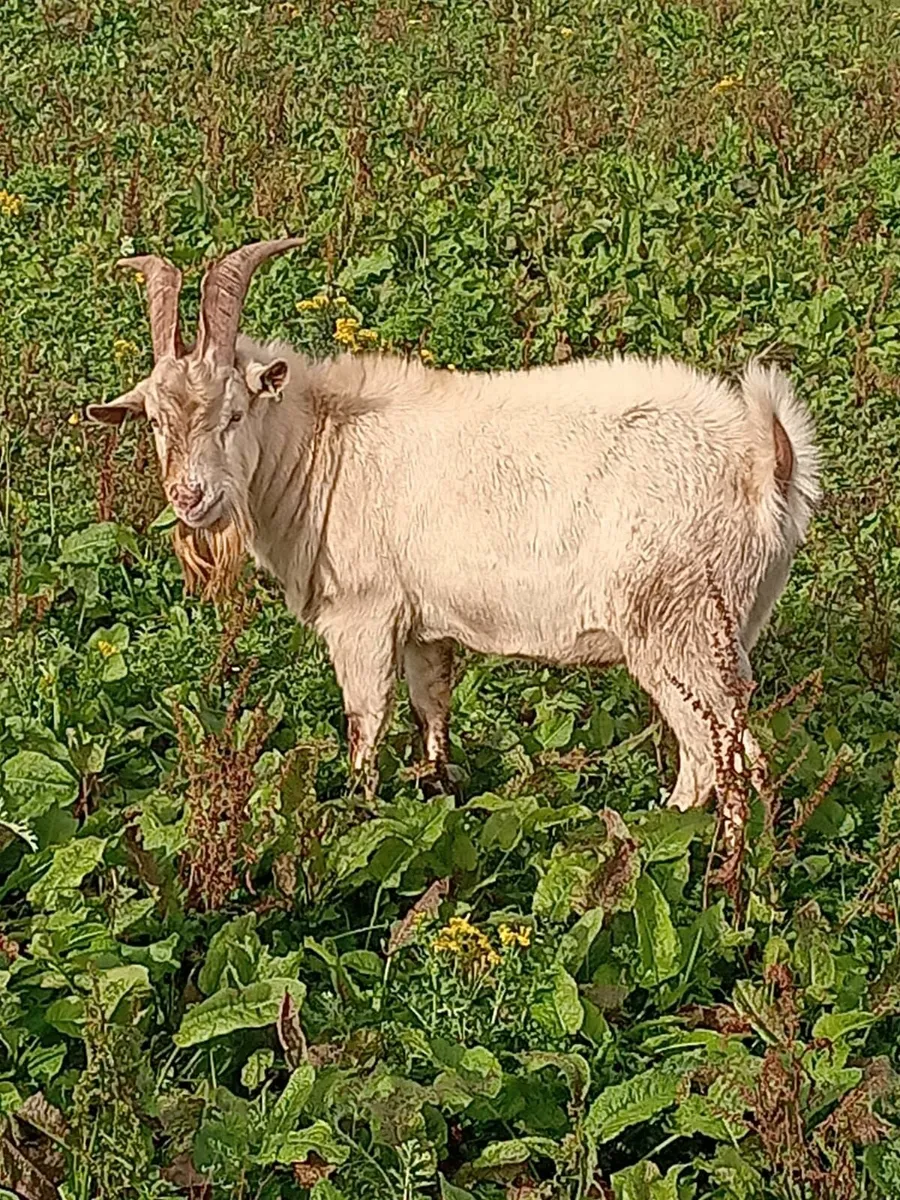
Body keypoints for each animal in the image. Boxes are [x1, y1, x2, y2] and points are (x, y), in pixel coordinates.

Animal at [87, 239, 820, 811]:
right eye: (156, 420)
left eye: (234, 412)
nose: (190, 497)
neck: (323, 447)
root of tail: (766, 466)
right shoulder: (424, 626)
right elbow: (430, 711)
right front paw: (435, 797)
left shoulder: (364, 615)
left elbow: (365, 725)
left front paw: (360, 814)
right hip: (726, 632)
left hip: (681, 633)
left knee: (721, 758)